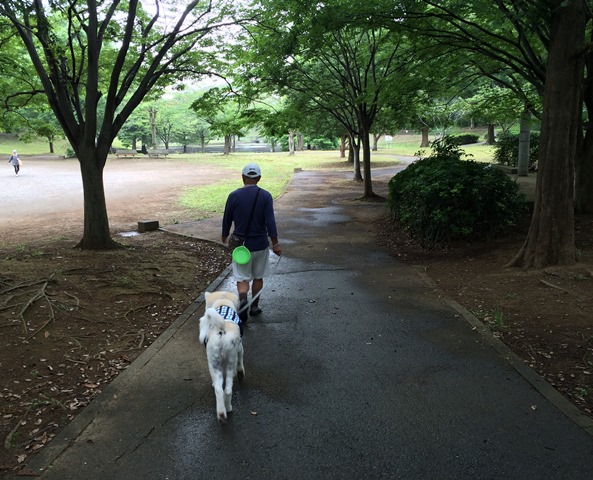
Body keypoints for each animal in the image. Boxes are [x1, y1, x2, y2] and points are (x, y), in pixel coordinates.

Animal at [199, 290, 245, 422]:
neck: (222, 302)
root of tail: (221, 327)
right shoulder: (240, 347)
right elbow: (241, 361)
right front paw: (241, 373)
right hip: (231, 360)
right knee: (228, 389)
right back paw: (228, 408)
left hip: (214, 362)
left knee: (220, 389)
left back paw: (221, 414)